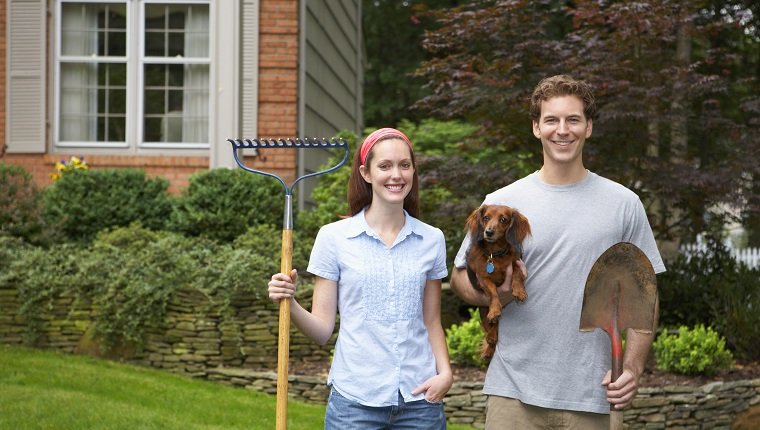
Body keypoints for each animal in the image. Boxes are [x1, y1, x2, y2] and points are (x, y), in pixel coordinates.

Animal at [464, 205, 528, 360]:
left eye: (503, 219)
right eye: (486, 217)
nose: (489, 232)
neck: (495, 253)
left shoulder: (516, 262)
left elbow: (517, 273)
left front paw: (519, 291)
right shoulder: (482, 277)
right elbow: (493, 291)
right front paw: (494, 310)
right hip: (482, 313)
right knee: (493, 326)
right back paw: (490, 343)